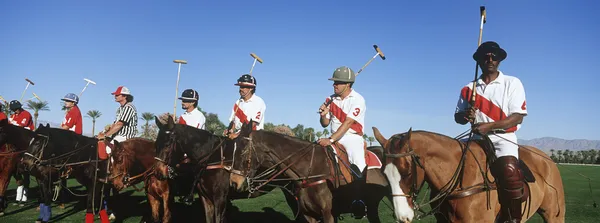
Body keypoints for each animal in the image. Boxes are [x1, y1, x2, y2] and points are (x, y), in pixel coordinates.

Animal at [152, 115, 302, 223]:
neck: (212, 159)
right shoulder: (206, 198)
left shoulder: (220, 199)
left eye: (168, 144)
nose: (158, 172)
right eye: (156, 143)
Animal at [227, 122, 392, 223]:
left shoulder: (328, 215)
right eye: (232, 150)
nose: (234, 182)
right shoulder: (309, 215)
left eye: (243, 151)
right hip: (373, 206)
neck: (310, 171)